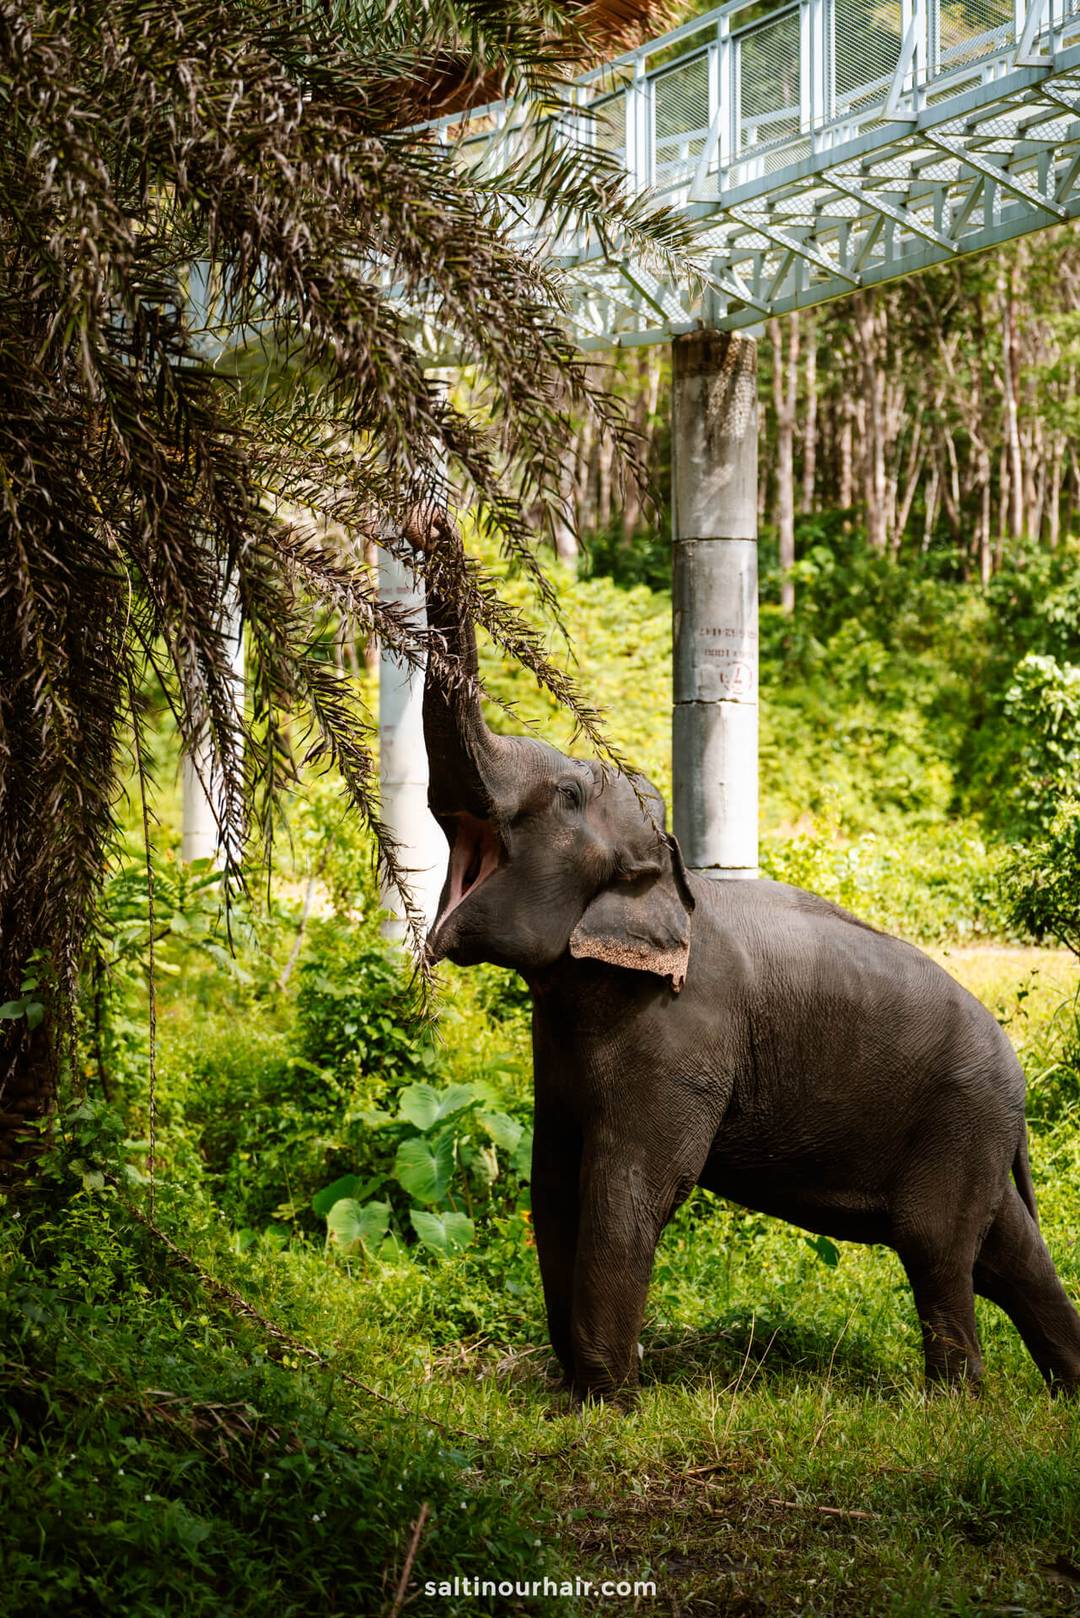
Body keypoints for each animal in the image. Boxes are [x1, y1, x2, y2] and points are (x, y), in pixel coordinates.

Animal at [417, 523, 1080, 1402]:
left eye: (565, 797)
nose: (433, 523)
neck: (669, 877)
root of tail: (1019, 1079)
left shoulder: (683, 1041)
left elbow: (631, 1188)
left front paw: (606, 1406)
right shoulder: (558, 1037)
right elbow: (552, 1178)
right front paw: (573, 1397)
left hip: (961, 1116)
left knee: (939, 1246)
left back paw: (955, 1404)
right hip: (973, 1128)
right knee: (1006, 1249)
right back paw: (1062, 1392)